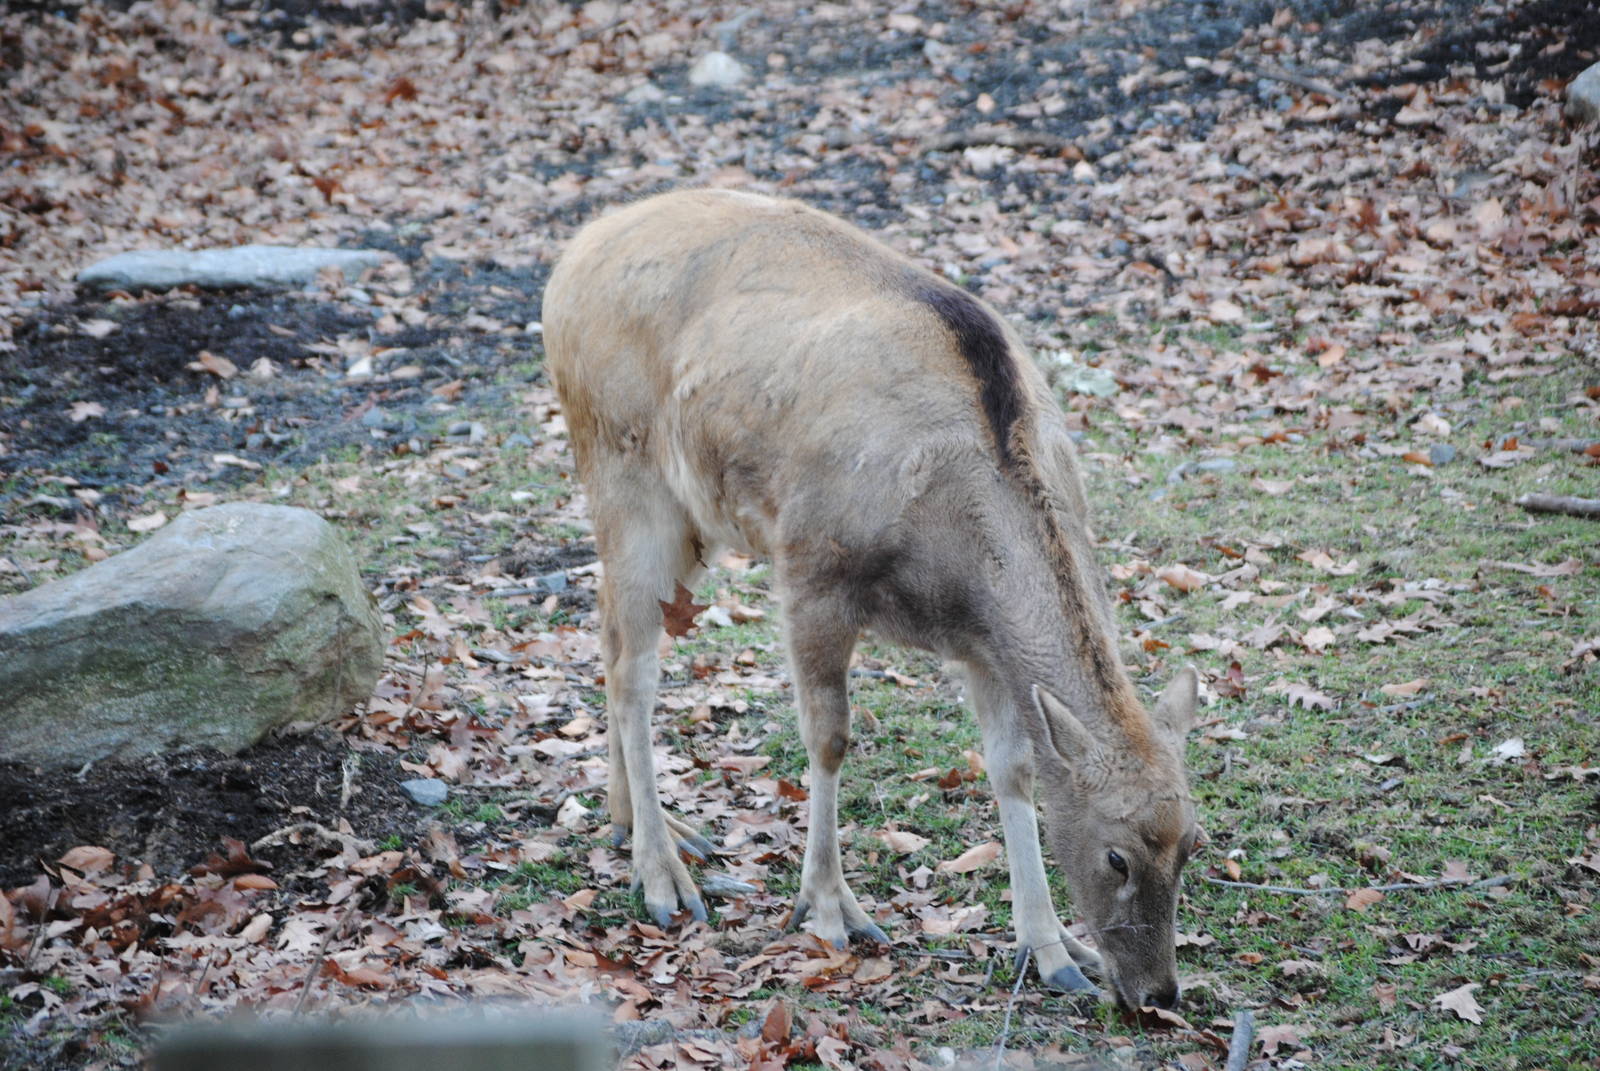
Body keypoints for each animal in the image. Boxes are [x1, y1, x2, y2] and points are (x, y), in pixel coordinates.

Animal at [541, 188, 1200, 1010]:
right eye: (1116, 856)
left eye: (1192, 843)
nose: (1158, 992)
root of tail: (569, 261)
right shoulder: (811, 570)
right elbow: (829, 738)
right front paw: (829, 909)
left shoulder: (981, 645)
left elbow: (1011, 767)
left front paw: (1051, 949)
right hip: (624, 472)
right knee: (636, 671)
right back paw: (664, 876)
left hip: (690, 520)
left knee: (608, 635)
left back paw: (631, 822)